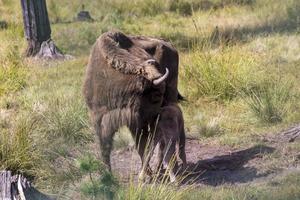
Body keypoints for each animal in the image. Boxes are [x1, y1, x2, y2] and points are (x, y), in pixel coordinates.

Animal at [81, 30, 180, 177]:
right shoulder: (100, 118)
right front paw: (108, 174)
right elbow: (106, 147)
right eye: (155, 95)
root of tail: (170, 46)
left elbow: (144, 146)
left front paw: (146, 173)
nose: (159, 113)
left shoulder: (140, 122)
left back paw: (158, 167)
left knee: (162, 140)